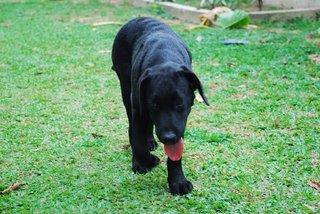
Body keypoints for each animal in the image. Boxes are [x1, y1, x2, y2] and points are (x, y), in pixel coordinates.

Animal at [111, 17, 209, 196]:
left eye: (179, 103)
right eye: (155, 105)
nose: (168, 137)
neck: (164, 57)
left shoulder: (179, 126)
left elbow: (176, 153)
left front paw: (178, 181)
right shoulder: (138, 108)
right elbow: (137, 142)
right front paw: (146, 161)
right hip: (126, 89)